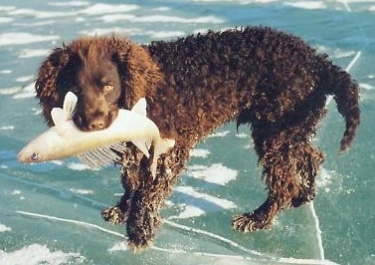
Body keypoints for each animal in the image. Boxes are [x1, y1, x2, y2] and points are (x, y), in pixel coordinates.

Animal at [34, 27, 362, 252]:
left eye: (108, 86)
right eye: (74, 90)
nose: (94, 124)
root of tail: (318, 62)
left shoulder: (168, 150)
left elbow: (148, 193)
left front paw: (139, 230)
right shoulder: (134, 148)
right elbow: (130, 181)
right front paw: (123, 208)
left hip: (275, 132)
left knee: (283, 182)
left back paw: (258, 218)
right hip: (289, 130)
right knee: (311, 155)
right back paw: (305, 193)